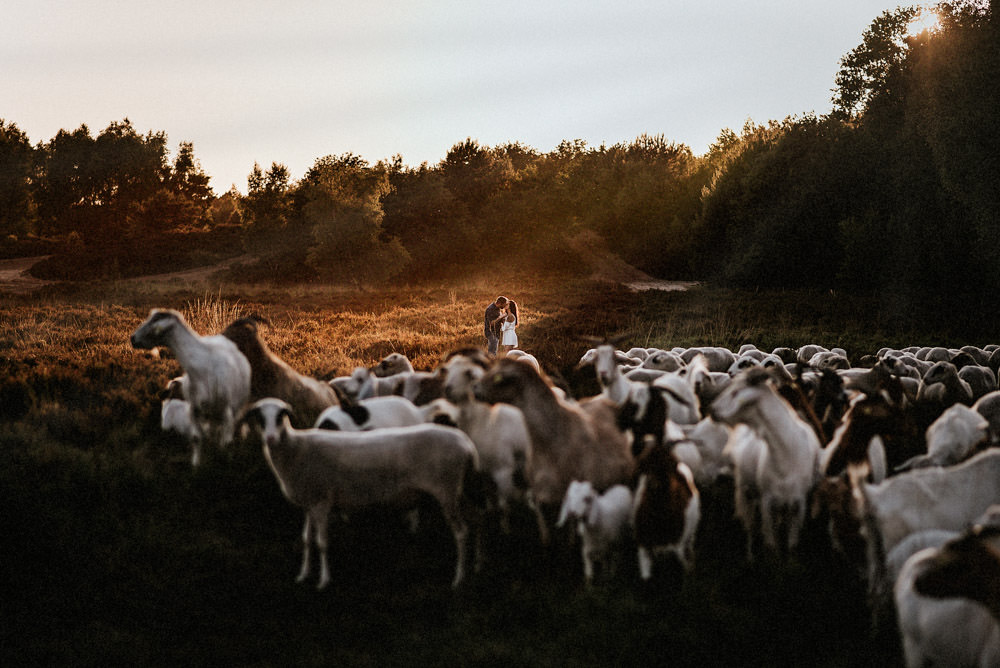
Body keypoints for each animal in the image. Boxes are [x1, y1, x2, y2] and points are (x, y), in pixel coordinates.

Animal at [130, 310, 250, 468]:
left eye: (154, 321)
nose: (132, 338)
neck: (201, 367)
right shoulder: (194, 410)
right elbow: (196, 437)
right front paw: (196, 466)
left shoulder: (227, 411)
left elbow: (226, 442)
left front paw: (226, 462)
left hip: (235, 407)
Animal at [238, 400, 480, 588]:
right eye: (260, 418)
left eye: (281, 417)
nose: (270, 438)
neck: (298, 448)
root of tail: (466, 443)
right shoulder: (310, 502)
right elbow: (307, 539)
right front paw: (303, 575)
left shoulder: (322, 502)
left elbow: (321, 542)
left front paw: (324, 580)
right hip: (461, 488)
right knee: (476, 520)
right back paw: (478, 564)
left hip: (446, 490)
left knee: (461, 532)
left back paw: (459, 578)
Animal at [632, 440, 704, 576]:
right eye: (645, 466)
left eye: (666, 468)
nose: (652, 483)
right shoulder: (643, 547)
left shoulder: (677, 548)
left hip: (691, 532)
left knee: (690, 547)